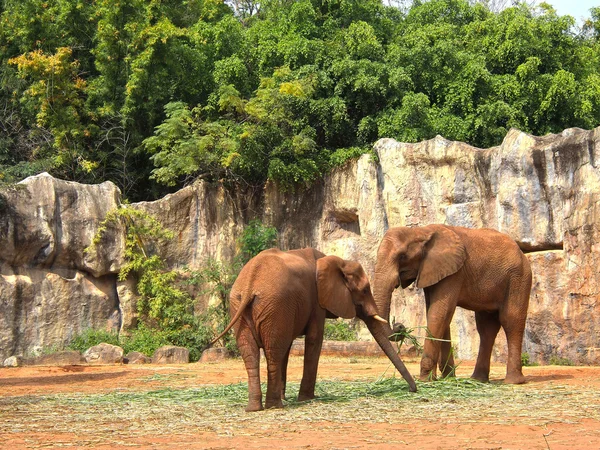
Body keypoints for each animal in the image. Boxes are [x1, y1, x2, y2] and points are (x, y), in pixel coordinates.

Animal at [212, 246, 418, 412]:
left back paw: (255, 408)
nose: (412, 390)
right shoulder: (316, 301)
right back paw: (274, 406)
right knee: (273, 351)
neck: (337, 261)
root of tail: (250, 284)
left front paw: (288, 396)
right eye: (365, 290)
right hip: (273, 305)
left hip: (243, 306)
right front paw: (307, 399)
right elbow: (314, 339)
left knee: (252, 353)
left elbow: (288, 347)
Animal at [372, 227, 532, 384]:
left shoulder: (454, 273)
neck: (422, 230)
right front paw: (445, 377)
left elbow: (439, 313)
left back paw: (512, 382)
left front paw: (426, 379)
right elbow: (437, 314)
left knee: (511, 321)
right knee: (486, 327)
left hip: (518, 277)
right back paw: (478, 380)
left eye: (402, 256)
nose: (399, 326)